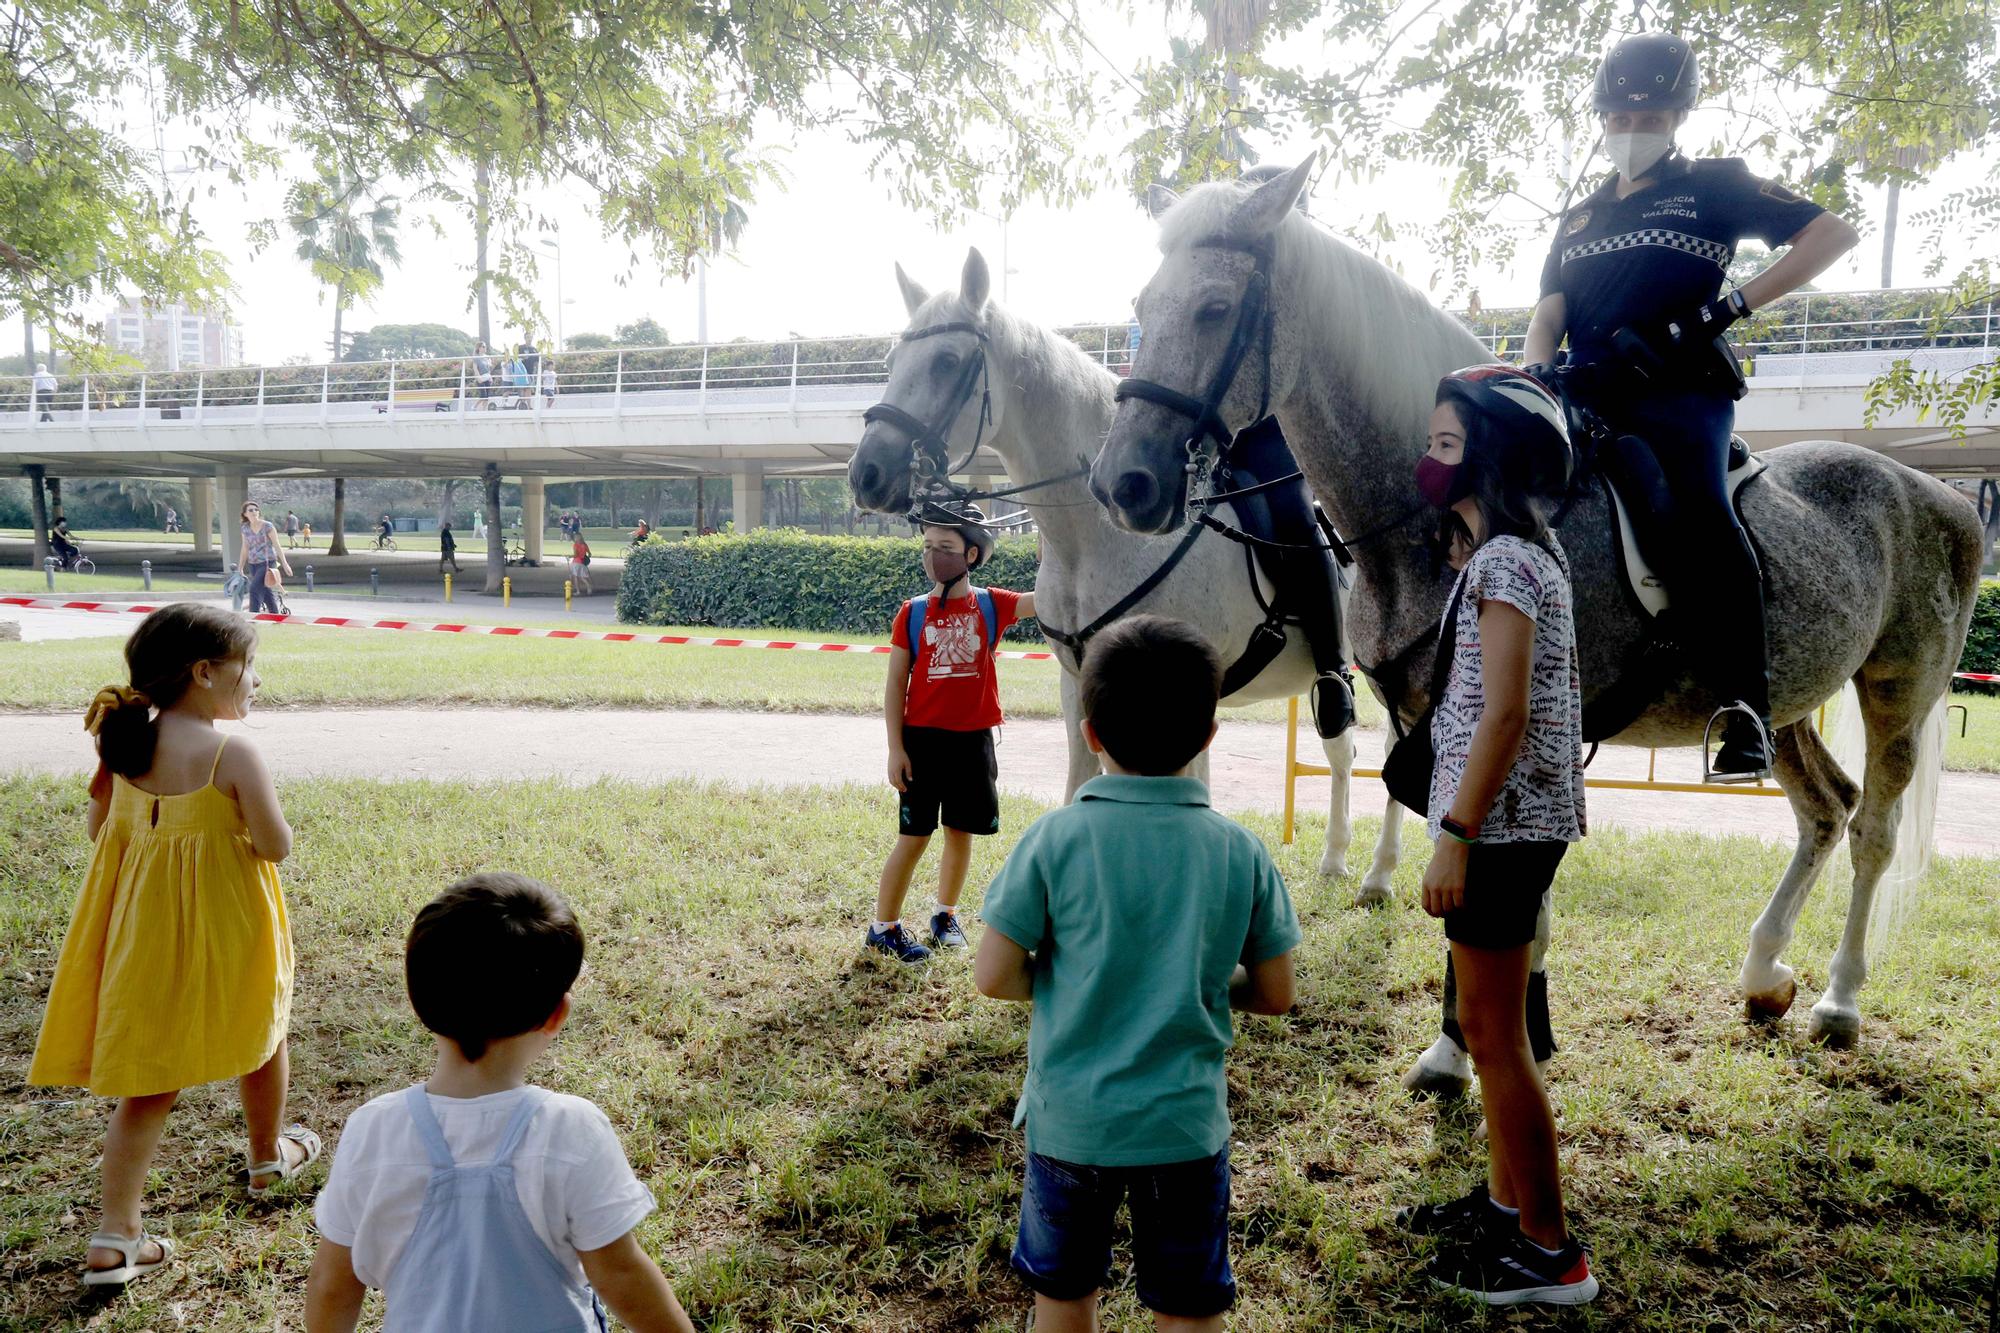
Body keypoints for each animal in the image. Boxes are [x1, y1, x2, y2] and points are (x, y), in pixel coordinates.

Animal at [852, 249, 1400, 892]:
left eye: (946, 362)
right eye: (891, 363)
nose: (866, 473)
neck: (1094, 536)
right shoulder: (1076, 682)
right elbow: (1081, 785)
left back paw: (1379, 874)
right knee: (1345, 754)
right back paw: (1337, 858)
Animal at [1096, 158, 1984, 1048]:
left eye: (1215, 308)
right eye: (1139, 306)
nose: (1123, 483)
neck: (1446, 513)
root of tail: (1941, 493)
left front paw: (1479, 1040)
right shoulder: (1427, 721)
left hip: (1899, 690)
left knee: (1874, 831)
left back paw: (1841, 997)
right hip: (1785, 701)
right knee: (1825, 810)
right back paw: (1765, 970)